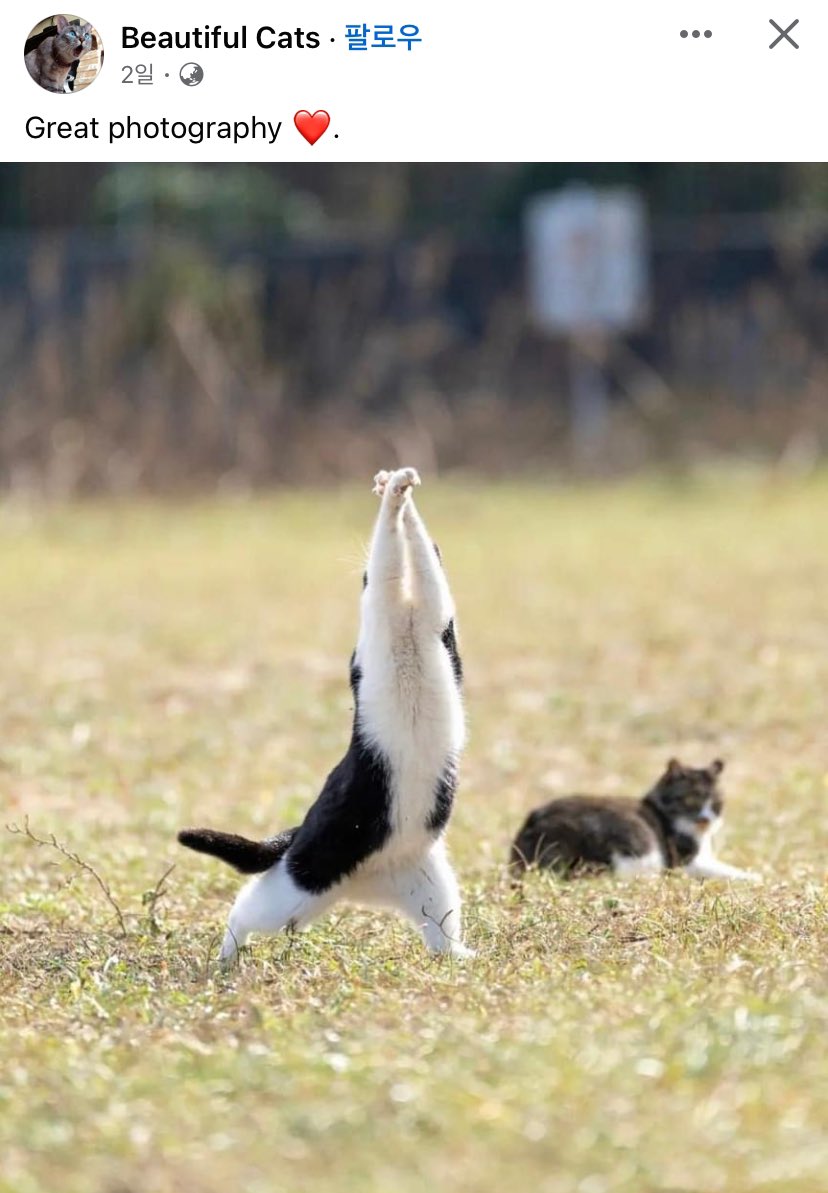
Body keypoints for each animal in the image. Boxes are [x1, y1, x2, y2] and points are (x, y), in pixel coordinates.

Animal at [178, 465, 472, 959]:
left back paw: (463, 956)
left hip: (428, 885)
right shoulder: (388, 606)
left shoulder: (433, 611)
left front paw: (399, 493)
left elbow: (415, 564)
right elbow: (390, 554)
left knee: (439, 936)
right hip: (298, 883)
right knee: (242, 911)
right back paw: (225, 957)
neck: (408, 624)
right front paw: (394, 491)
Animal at [508, 758, 763, 882]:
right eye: (691, 799)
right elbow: (727, 871)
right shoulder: (684, 861)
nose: (705, 817)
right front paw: (753, 877)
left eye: (716, 802)